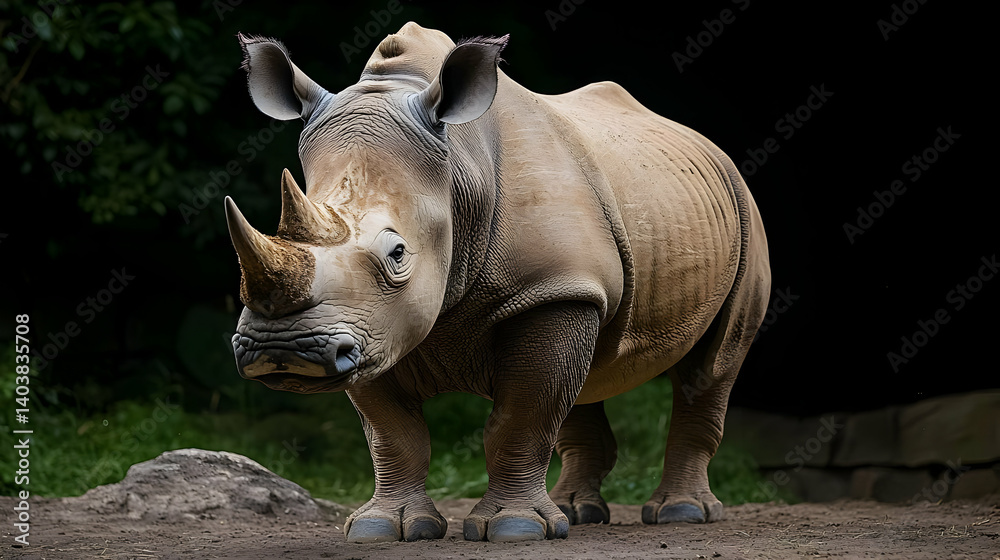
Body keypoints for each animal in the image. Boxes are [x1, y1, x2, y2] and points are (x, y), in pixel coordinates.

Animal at [226, 22, 770, 543]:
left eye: (397, 254)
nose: (283, 349)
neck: (459, 174)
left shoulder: (548, 289)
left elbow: (521, 417)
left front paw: (516, 529)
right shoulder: (370, 324)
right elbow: (392, 433)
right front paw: (382, 528)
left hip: (741, 210)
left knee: (712, 366)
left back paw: (682, 513)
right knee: (586, 373)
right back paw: (578, 513)